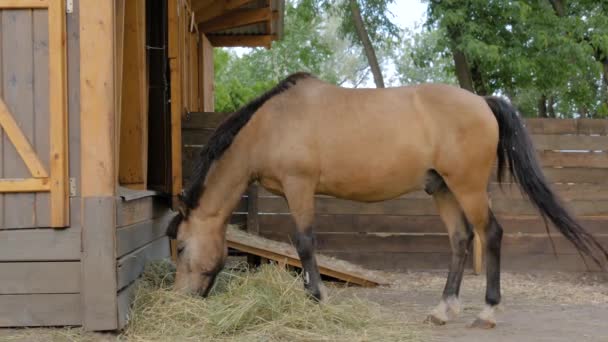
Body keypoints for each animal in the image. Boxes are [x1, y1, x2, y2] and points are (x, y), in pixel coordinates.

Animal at [165, 72, 608, 328]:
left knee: (492, 234)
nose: (183, 299)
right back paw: (443, 309)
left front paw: (317, 298)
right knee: (461, 241)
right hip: (442, 189)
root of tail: (483, 101)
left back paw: (487, 310)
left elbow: (305, 242)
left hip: (467, 187)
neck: (273, 124)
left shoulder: (299, 186)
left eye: (182, 246)